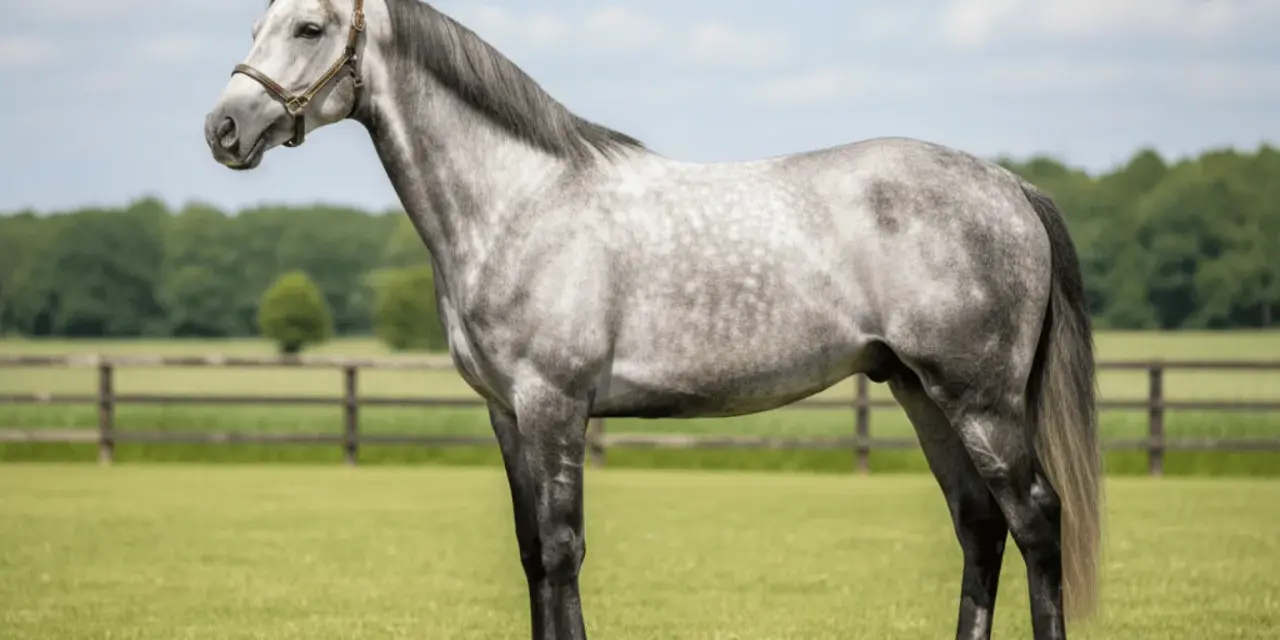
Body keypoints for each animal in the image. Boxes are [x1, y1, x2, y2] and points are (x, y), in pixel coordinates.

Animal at [203, 1, 1104, 638]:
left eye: (310, 27)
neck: (519, 201)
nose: (223, 128)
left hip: (981, 401)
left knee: (1036, 519)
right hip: (920, 393)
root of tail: (1008, 184)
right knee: (980, 528)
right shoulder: (506, 414)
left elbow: (562, 551)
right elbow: (532, 556)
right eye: (255, 25)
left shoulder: (555, 405)